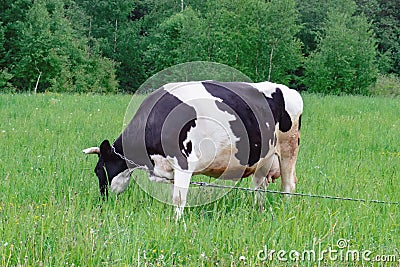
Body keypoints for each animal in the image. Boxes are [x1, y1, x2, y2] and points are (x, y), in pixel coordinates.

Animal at [83, 81, 304, 220]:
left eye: (98, 170)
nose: (103, 202)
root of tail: (289, 90)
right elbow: (176, 196)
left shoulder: (184, 161)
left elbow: (179, 198)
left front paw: (177, 223)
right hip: (264, 159)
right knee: (259, 187)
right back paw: (258, 211)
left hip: (288, 149)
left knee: (288, 185)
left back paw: (287, 211)